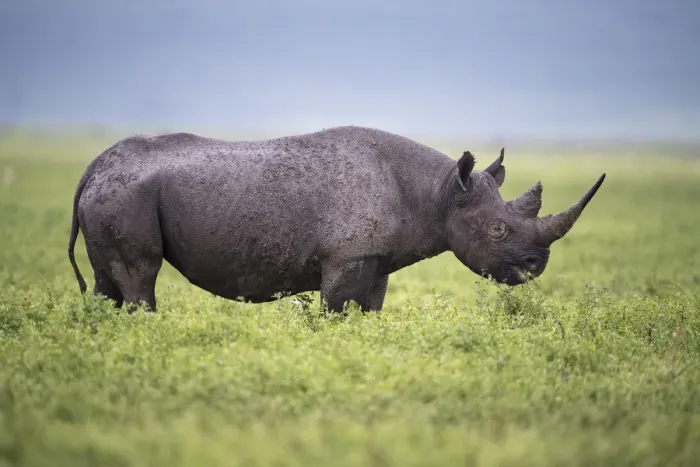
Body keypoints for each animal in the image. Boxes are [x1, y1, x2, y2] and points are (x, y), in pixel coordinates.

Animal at [67, 125, 605, 313]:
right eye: (498, 230)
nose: (535, 266)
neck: (439, 193)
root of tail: (94, 167)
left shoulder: (377, 259)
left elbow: (369, 312)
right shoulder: (346, 259)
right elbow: (335, 311)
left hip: (115, 194)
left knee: (108, 282)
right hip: (127, 195)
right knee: (140, 276)